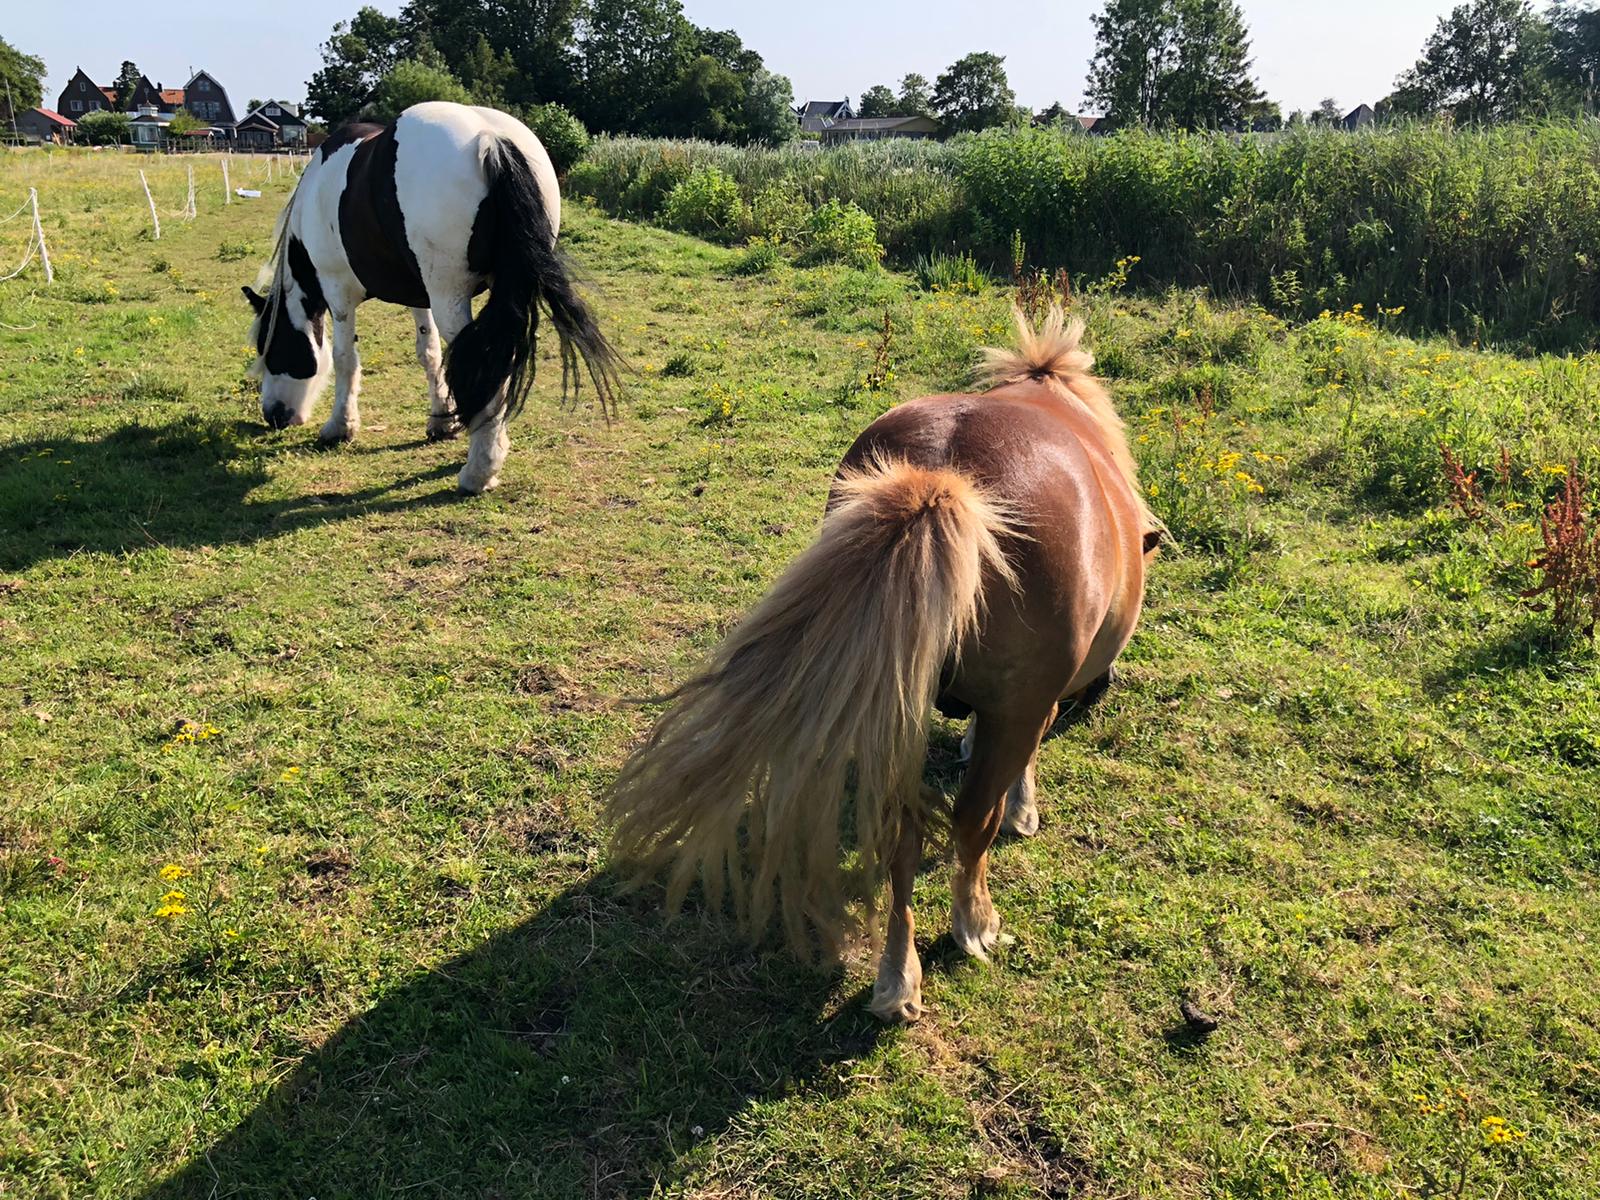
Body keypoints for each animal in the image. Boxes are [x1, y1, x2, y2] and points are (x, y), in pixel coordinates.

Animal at [241, 101, 619, 494]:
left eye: (271, 347)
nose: (273, 416)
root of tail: (491, 139)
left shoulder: (338, 293)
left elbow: (345, 359)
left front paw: (340, 427)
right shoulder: (419, 295)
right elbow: (430, 353)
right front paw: (441, 420)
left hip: (450, 298)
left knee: (482, 362)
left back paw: (478, 472)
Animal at [607, 306, 1160, 1023]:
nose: (1098, 692)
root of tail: (941, 477)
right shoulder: (1028, 706)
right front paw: (1022, 808)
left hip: (898, 709)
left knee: (900, 834)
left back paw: (898, 977)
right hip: (1001, 706)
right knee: (966, 826)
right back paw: (974, 925)